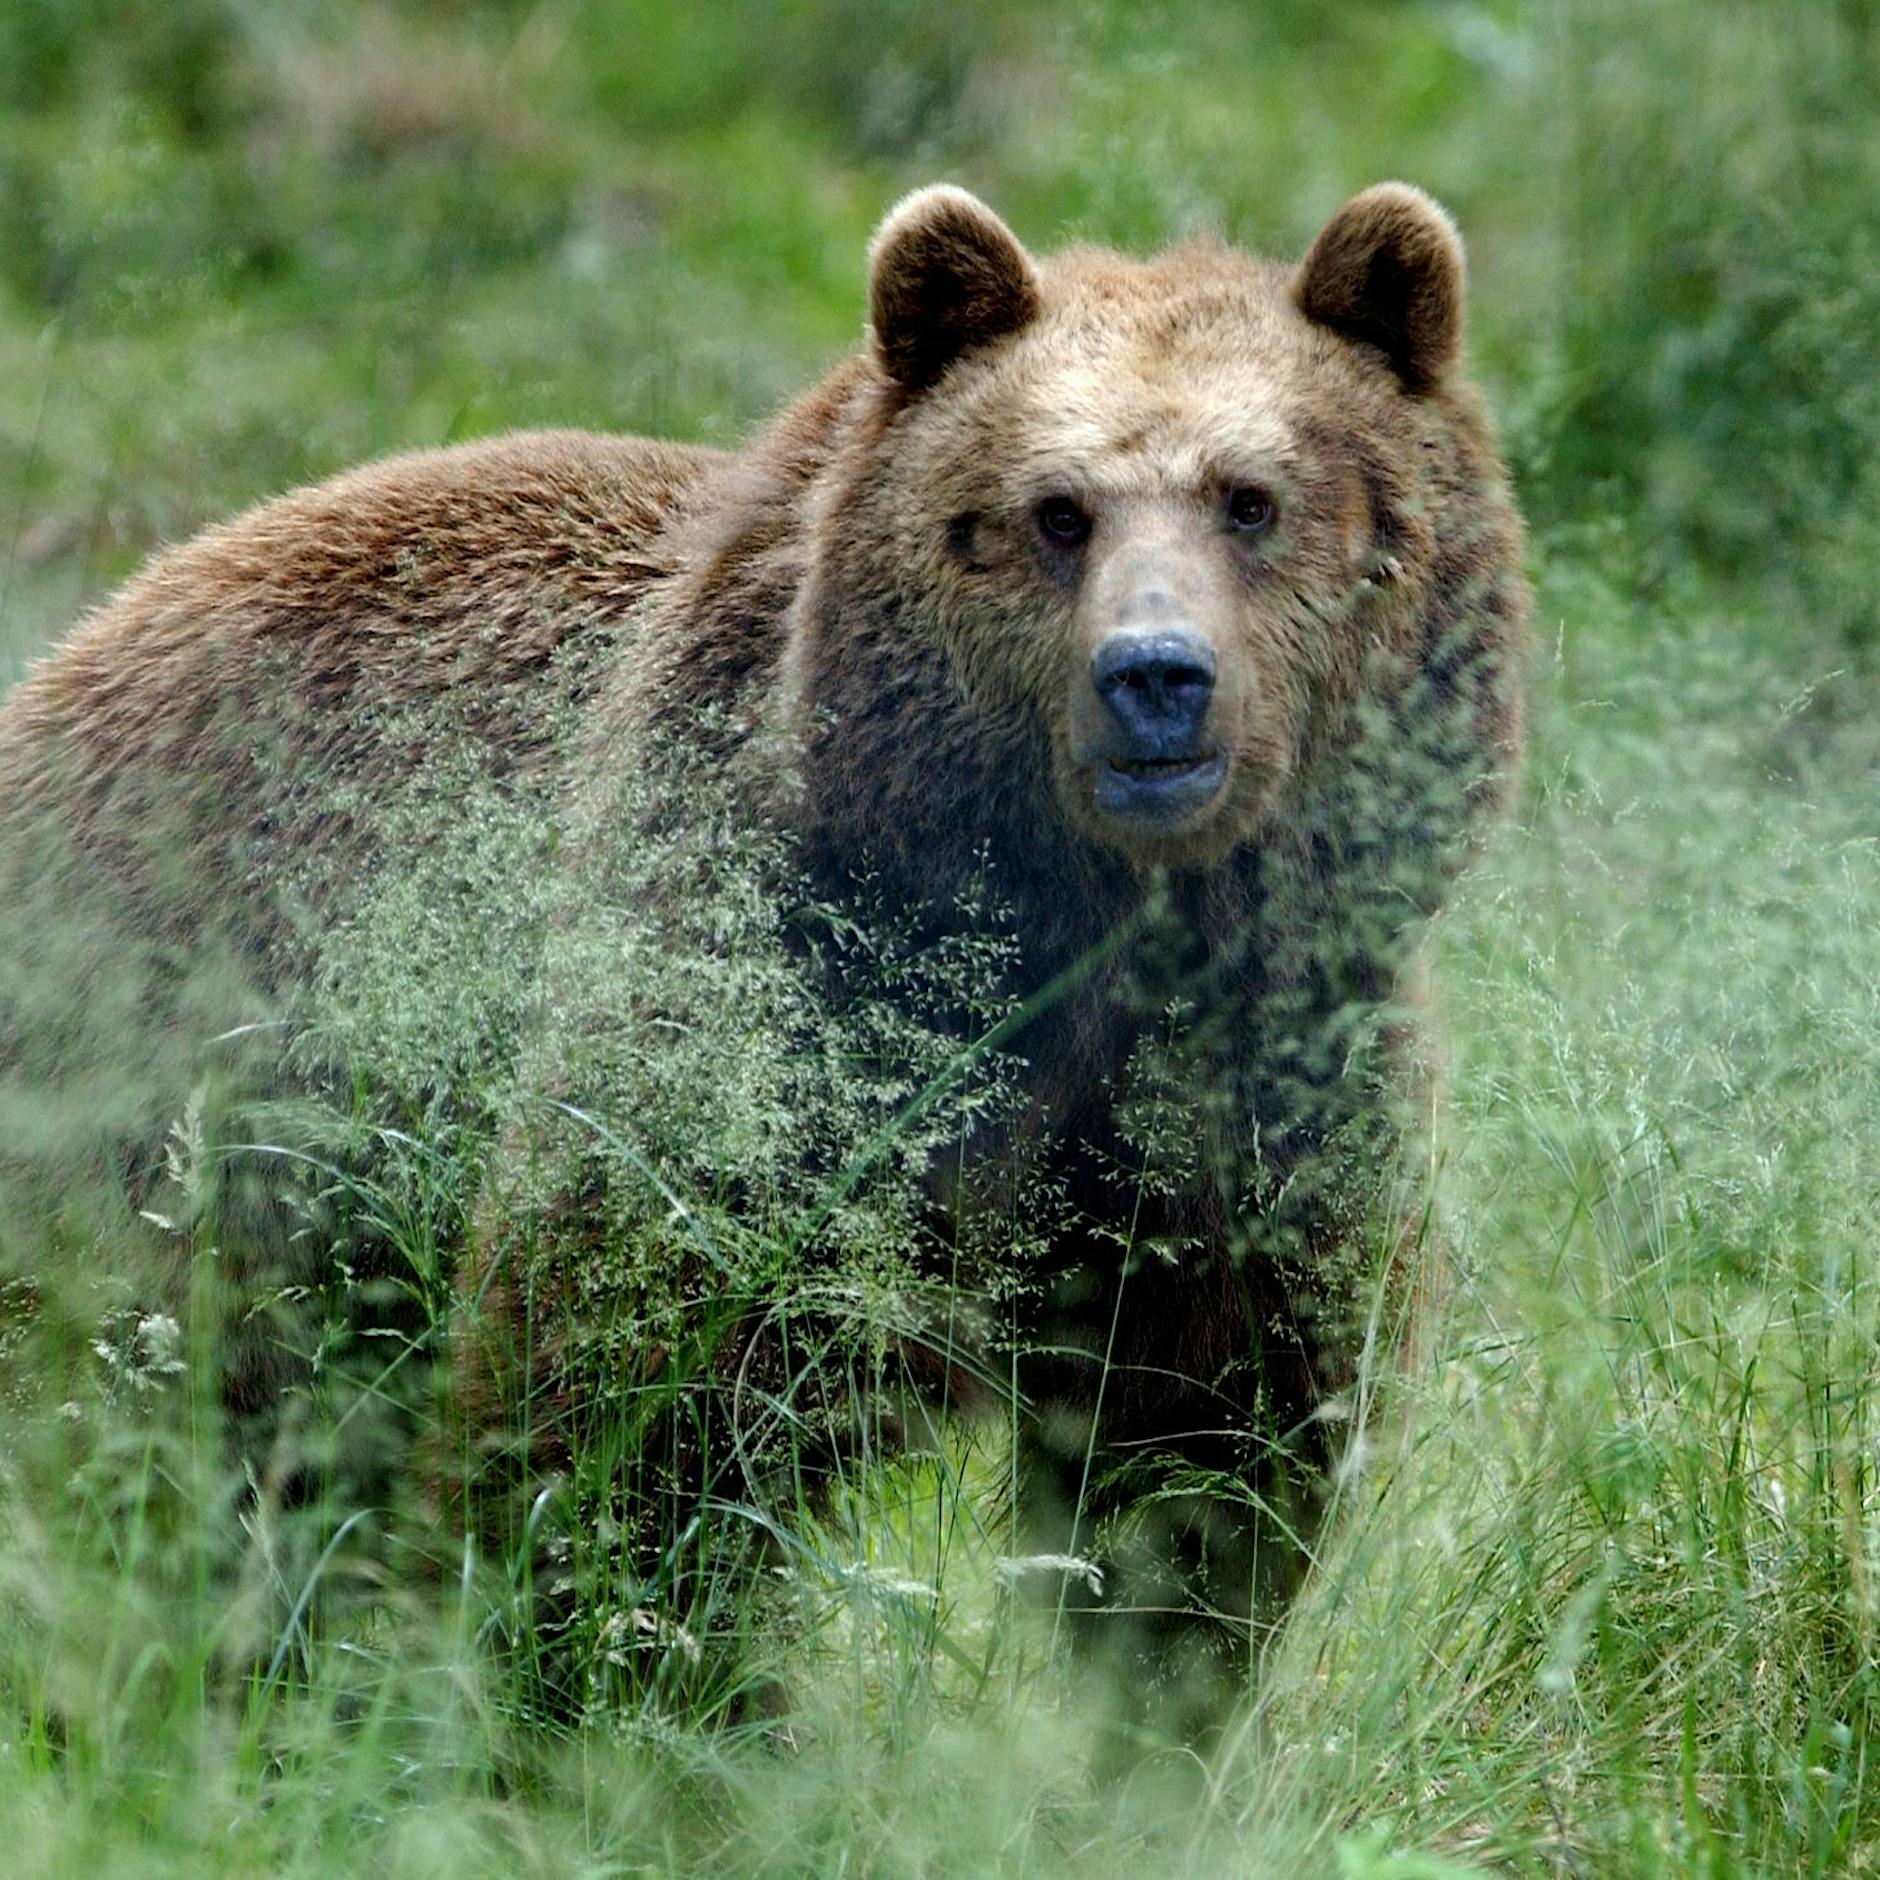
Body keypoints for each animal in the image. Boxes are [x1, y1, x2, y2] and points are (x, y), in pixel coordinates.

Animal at [0, 182, 1528, 1704]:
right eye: (1055, 512)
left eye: (1251, 499)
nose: (1154, 678)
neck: (1080, 934)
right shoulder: (774, 1006)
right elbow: (636, 1414)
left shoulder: (1260, 1080)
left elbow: (1206, 1457)